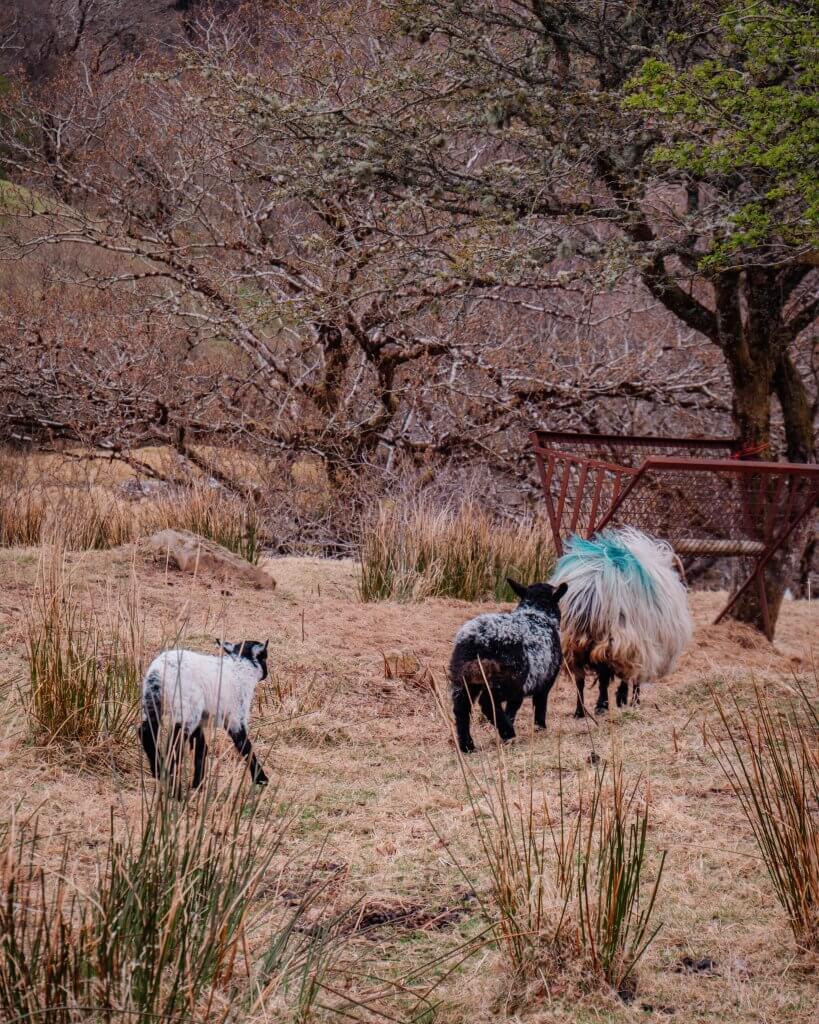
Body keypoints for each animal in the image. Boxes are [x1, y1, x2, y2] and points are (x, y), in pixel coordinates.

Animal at [138, 639, 269, 790]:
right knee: (175, 743)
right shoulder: (236, 718)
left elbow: (201, 748)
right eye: (264, 657)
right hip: (187, 709)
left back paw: (158, 771)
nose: (266, 674)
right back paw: (172, 784)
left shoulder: (201, 720)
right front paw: (261, 779)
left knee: (146, 731)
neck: (241, 665)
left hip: (152, 702)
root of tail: (158, 672)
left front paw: (197, 784)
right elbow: (246, 747)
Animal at [449, 579, 567, 753]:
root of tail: (476, 640)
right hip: (506, 677)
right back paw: (508, 733)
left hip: (462, 677)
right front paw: (540, 728)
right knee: (487, 703)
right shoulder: (543, 681)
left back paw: (467, 746)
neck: (538, 614)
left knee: (461, 708)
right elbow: (539, 705)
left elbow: (513, 707)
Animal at [549, 527, 692, 717]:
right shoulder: (639, 646)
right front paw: (628, 701)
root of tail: (592, 585)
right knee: (607, 674)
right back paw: (604, 705)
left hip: (571, 642)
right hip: (615, 639)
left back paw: (580, 711)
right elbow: (631, 678)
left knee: (580, 679)